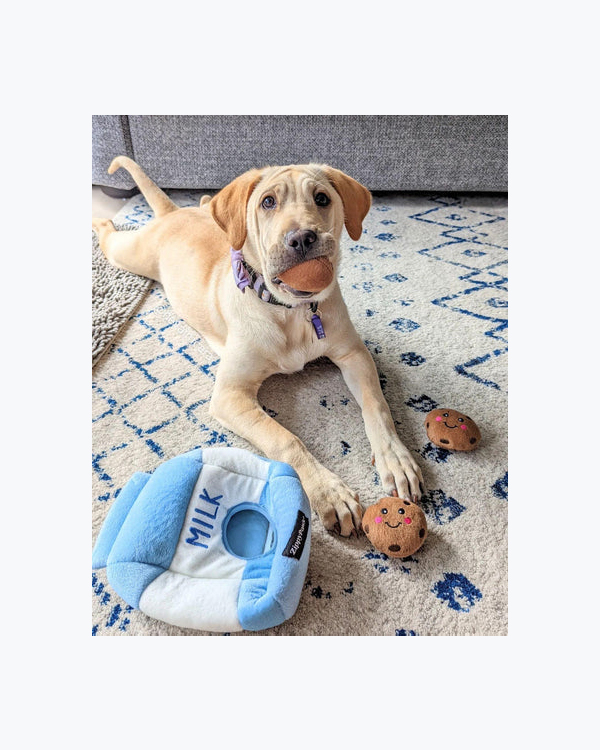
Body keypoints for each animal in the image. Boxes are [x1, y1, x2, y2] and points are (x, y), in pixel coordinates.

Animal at [93, 157, 423, 536]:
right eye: (268, 202)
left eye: (322, 198)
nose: (302, 238)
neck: (290, 312)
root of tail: (173, 213)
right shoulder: (230, 395)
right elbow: (285, 438)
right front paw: (329, 492)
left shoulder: (353, 354)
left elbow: (377, 406)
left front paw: (396, 459)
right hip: (131, 254)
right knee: (111, 237)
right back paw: (101, 220)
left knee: (208, 207)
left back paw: (203, 200)